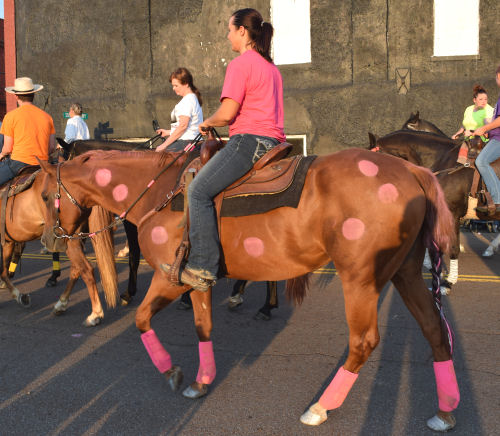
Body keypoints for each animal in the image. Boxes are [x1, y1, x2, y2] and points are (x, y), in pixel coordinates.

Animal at [0, 171, 118, 328]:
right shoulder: (8, 242)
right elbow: (3, 271)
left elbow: (2, 272)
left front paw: (19, 296)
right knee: (76, 269)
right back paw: (61, 304)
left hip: (68, 239)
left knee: (86, 269)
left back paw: (95, 314)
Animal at [38, 148, 460, 430]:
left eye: (44, 196)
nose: (49, 240)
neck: (160, 194)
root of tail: (412, 170)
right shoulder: (197, 280)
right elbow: (203, 328)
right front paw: (201, 381)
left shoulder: (167, 277)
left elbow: (141, 319)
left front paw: (171, 370)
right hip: (405, 271)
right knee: (434, 330)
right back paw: (446, 410)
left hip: (360, 277)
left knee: (364, 341)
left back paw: (321, 407)